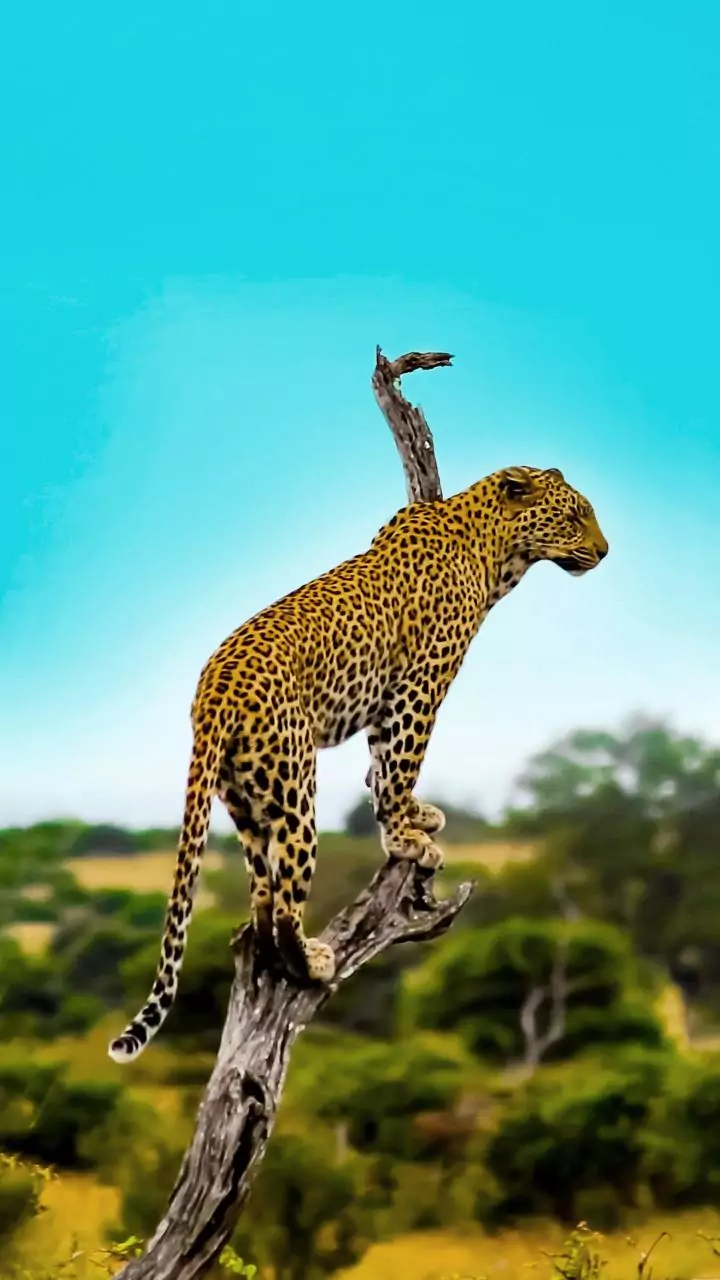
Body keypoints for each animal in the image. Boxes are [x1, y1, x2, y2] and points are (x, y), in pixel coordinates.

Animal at [108, 464, 608, 1063]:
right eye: (575, 516)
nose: (604, 551)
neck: (494, 551)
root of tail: (212, 693)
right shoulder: (418, 686)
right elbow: (401, 762)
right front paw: (405, 836)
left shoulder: (389, 698)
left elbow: (382, 763)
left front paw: (414, 817)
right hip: (295, 790)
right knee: (286, 901)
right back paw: (314, 962)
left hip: (244, 798)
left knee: (261, 892)